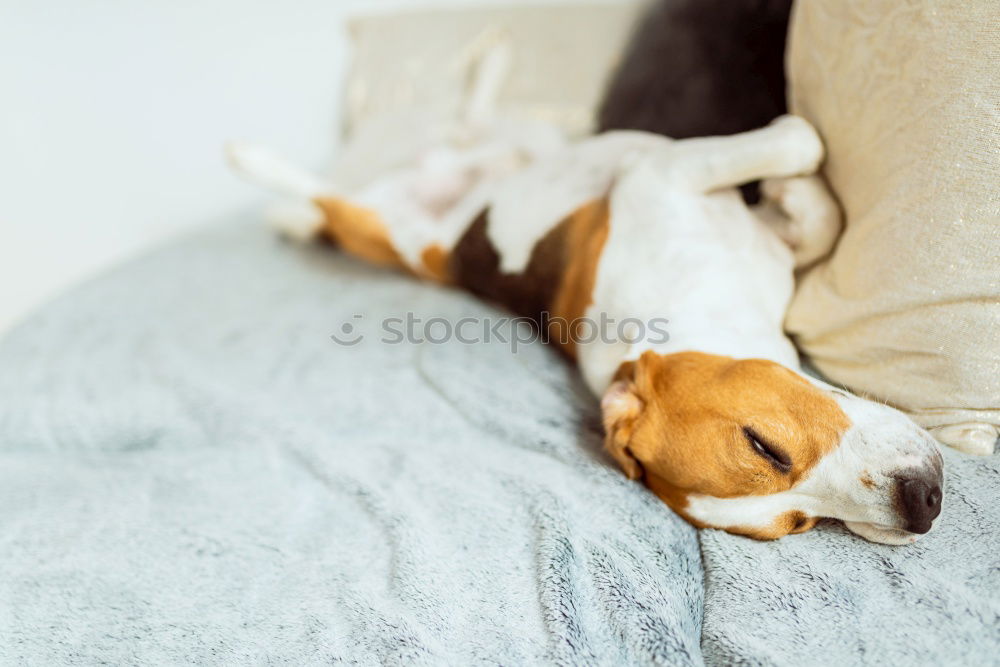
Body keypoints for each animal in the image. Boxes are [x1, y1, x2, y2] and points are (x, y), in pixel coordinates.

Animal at [229, 56, 944, 548]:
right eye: (767, 452)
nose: (925, 503)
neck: (694, 314)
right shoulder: (662, 173)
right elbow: (801, 137)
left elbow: (815, 205)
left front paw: (792, 193)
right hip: (375, 226)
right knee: (323, 198)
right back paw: (254, 164)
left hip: (513, 142)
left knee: (478, 123)